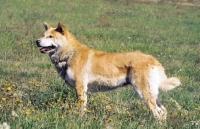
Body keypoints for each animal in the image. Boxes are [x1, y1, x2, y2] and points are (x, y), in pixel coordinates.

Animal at [36, 21, 181, 121]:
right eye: (43, 35)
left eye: (50, 37)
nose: (37, 41)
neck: (70, 53)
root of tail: (153, 59)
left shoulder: (80, 88)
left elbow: (81, 109)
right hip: (152, 94)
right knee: (163, 111)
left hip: (144, 93)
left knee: (158, 112)